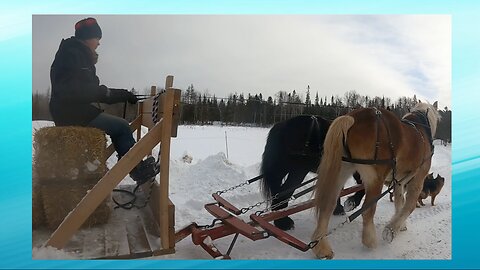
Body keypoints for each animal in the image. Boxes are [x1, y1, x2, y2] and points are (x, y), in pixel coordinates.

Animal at [312, 102, 438, 258]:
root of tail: (353, 118)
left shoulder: (399, 181)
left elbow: (399, 201)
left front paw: (400, 225)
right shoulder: (418, 179)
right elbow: (409, 206)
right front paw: (391, 230)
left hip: (342, 170)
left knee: (327, 205)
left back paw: (322, 247)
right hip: (375, 179)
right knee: (367, 210)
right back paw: (370, 241)